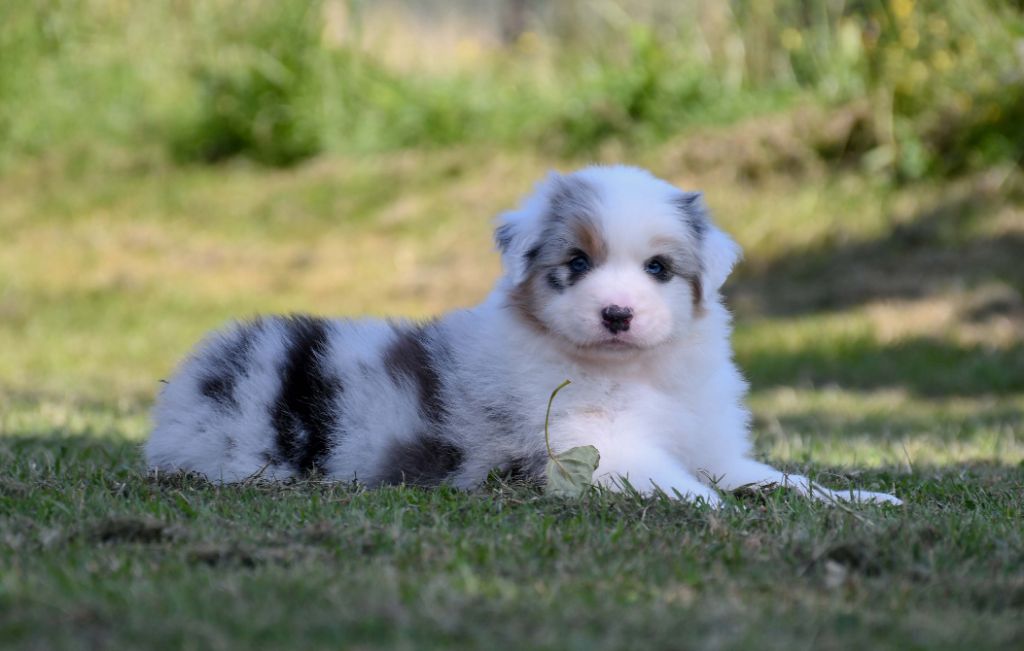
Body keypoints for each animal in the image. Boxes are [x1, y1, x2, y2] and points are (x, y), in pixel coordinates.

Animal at [146, 165, 901, 506]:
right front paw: (718, 508)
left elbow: (777, 477)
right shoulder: (593, 448)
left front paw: (861, 499)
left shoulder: (712, 444)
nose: (618, 314)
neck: (633, 372)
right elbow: (682, 483)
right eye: (577, 263)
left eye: (658, 268)